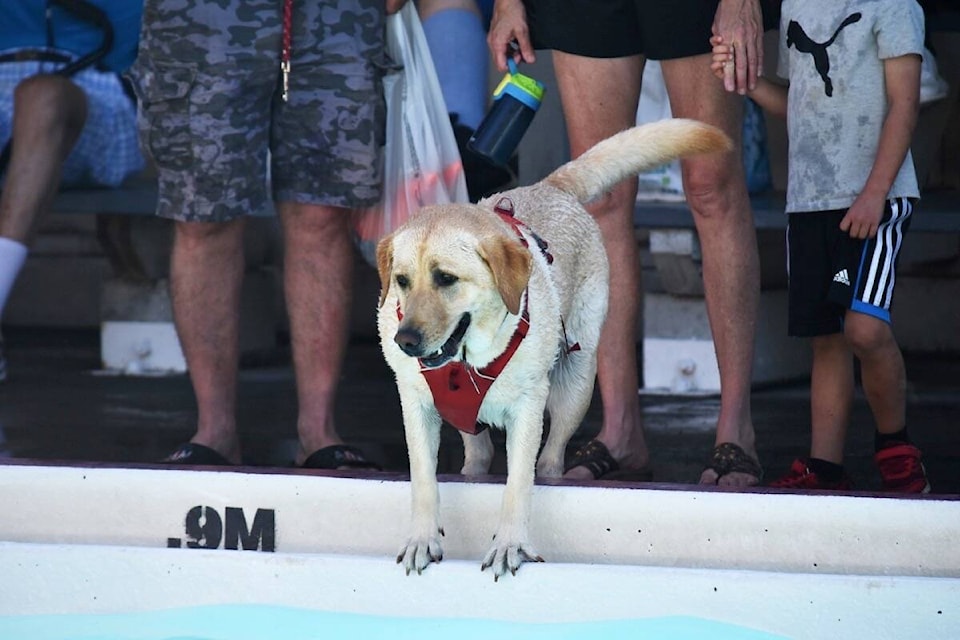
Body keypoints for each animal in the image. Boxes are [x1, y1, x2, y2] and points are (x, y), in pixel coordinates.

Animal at [376, 117, 728, 576]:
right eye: (401, 281)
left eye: (446, 279)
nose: (405, 341)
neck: (468, 365)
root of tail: (552, 185)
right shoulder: (417, 405)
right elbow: (423, 480)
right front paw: (421, 539)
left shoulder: (528, 409)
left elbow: (518, 484)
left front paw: (511, 544)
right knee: (477, 452)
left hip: (575, 383)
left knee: (551, 459)